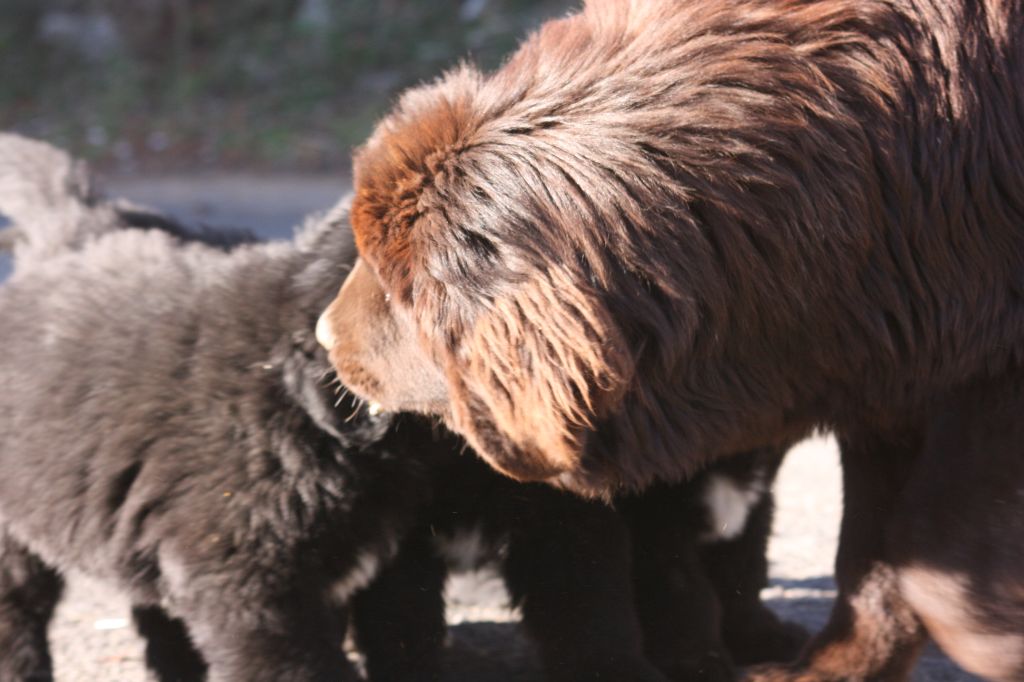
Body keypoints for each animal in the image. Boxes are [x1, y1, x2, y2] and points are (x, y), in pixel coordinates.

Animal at [323, 2, 1024, 675]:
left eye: (394, 284)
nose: (324, 333)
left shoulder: (970, 368)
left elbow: (927, 541)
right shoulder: (894, 364)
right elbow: (873, 558)